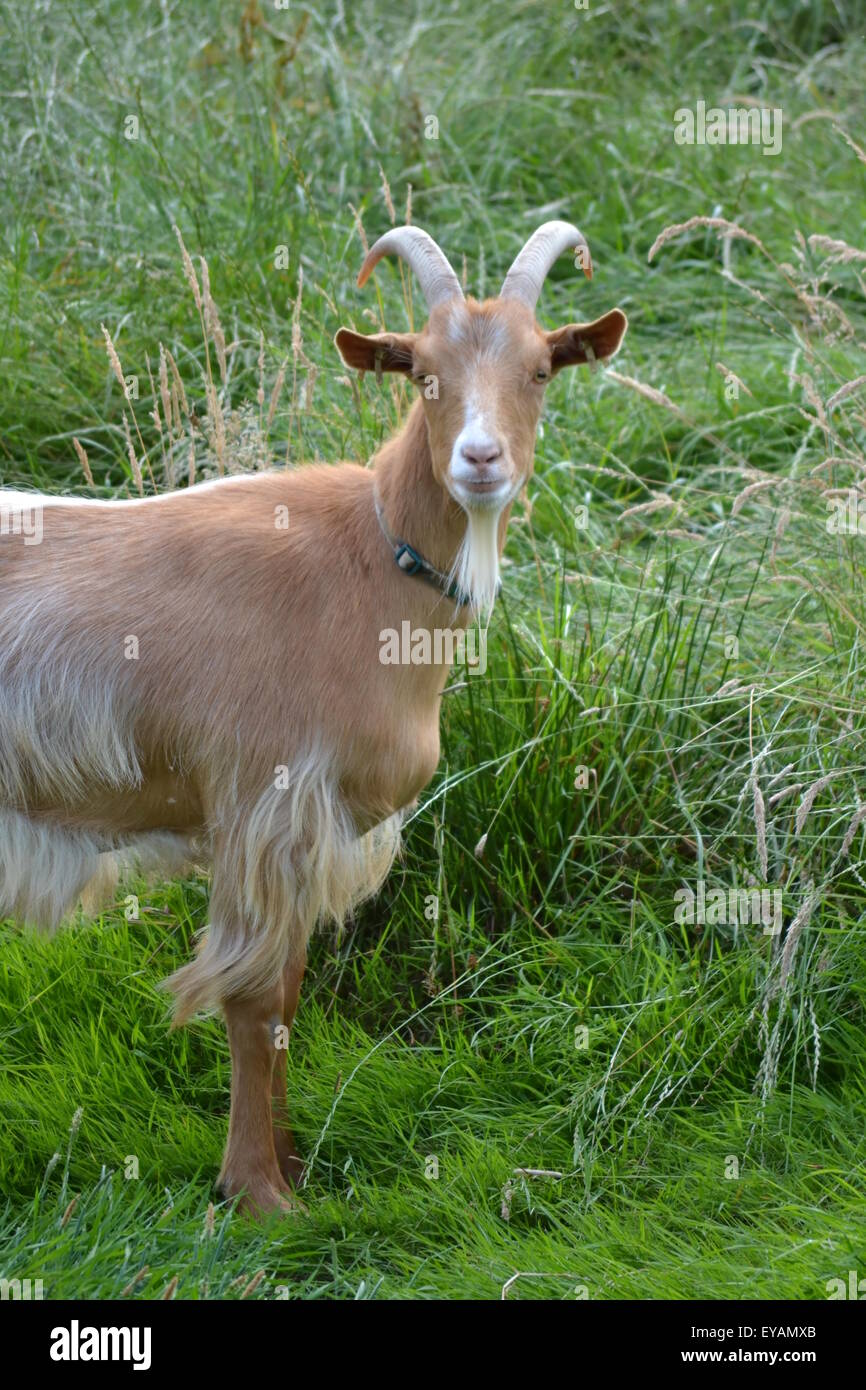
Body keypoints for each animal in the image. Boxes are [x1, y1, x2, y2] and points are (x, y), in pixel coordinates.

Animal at [0, 222, 625, 1212]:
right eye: (421, 372)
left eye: (539, 370)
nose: (480, 460)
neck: (365, 560)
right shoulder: (265, 797)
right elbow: (255, 1001)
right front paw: (259, 1195)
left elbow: (291, 996)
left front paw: (293, 1169)